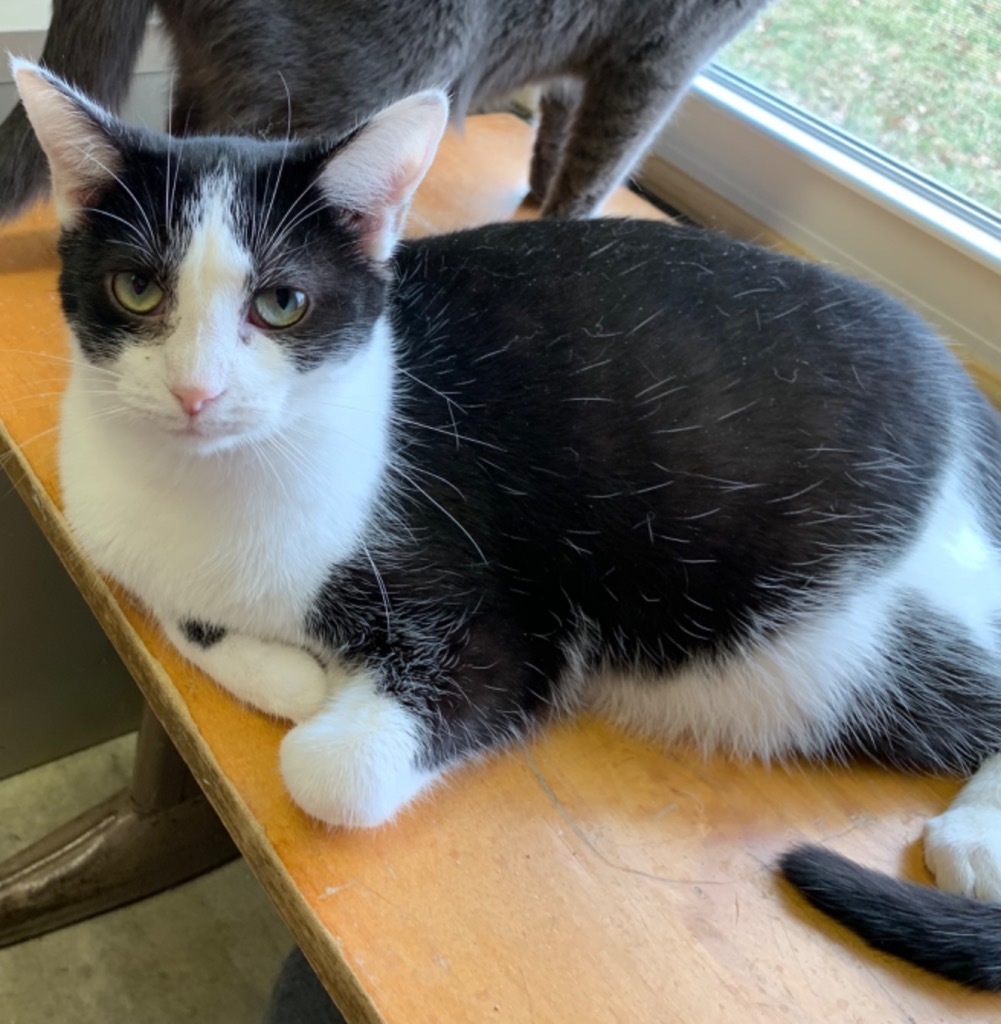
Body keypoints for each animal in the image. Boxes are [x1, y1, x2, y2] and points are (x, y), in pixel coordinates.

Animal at [11, 64, 998, 991]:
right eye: (136, 289)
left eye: (282, 303)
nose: (196, 393)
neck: (210, 484)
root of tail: (952, 376)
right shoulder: (118, 538)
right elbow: (180, 610)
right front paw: (296, 673)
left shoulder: (511, 619)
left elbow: (332, 771)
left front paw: (321, 699)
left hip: (820, 632)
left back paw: (974, 835)